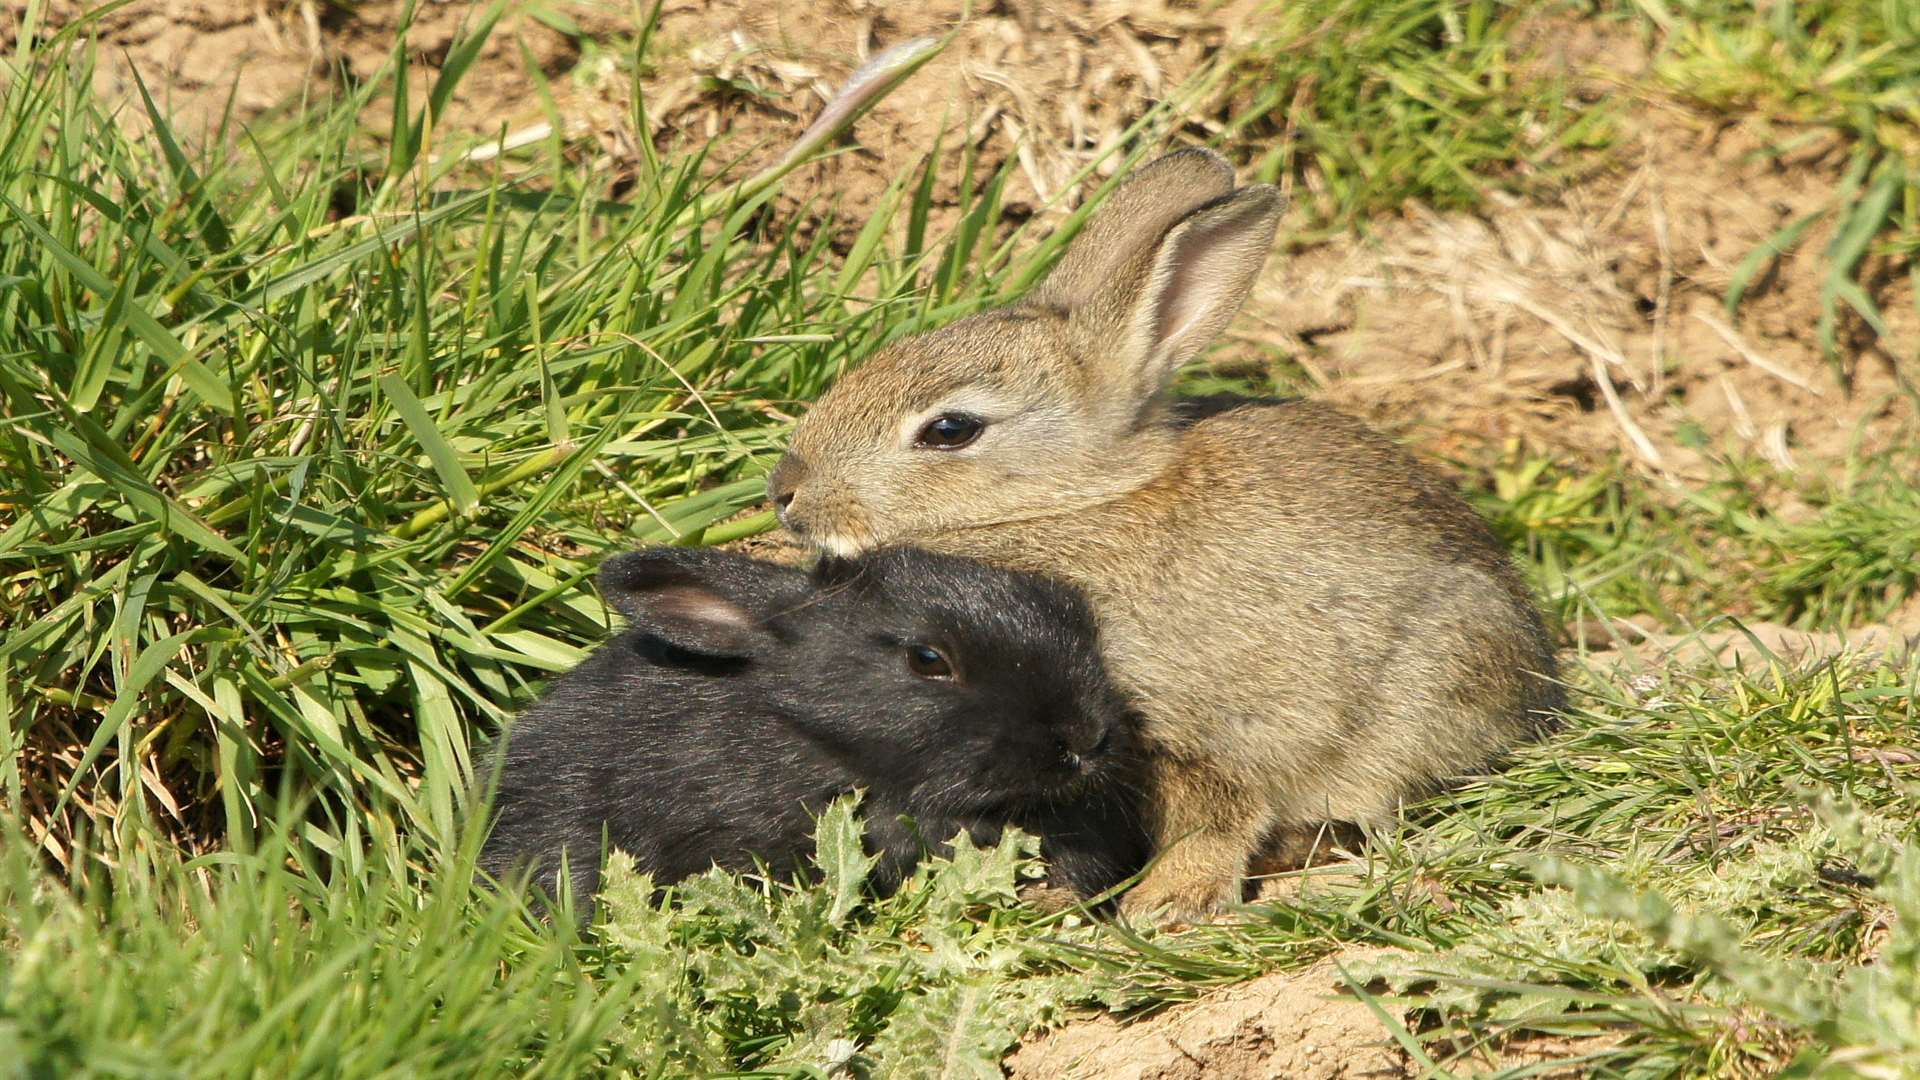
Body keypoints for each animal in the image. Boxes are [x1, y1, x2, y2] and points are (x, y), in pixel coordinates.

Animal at [764, 147, 1559, 922]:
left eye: (950, 430)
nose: (785, 494)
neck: (1077, 503)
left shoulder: (1202, 724)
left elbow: (1213, 813)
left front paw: (1169, 900)